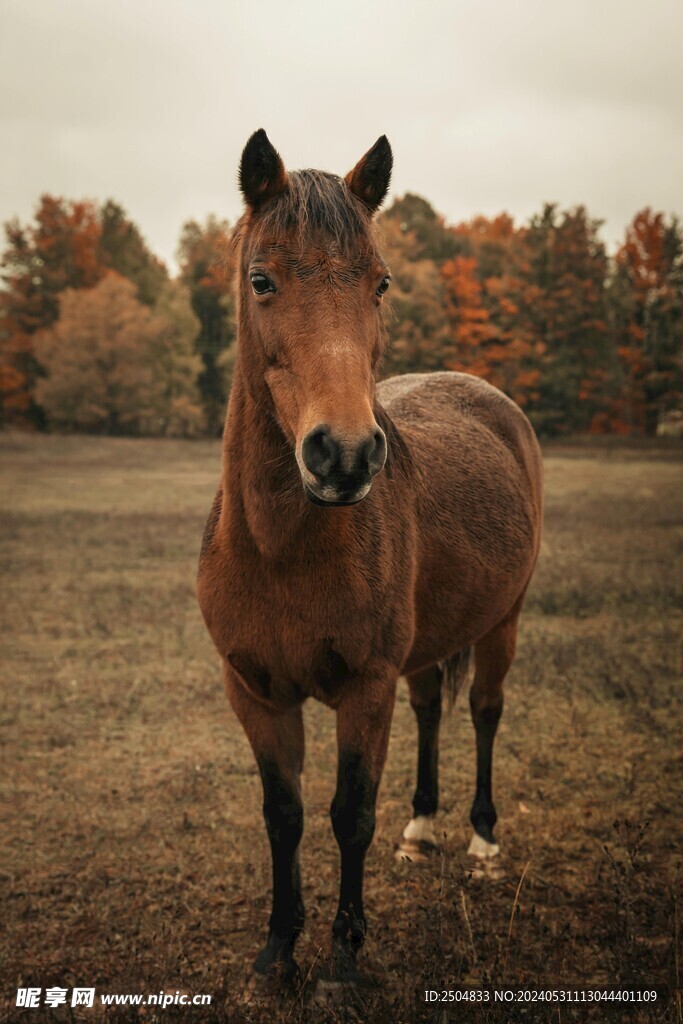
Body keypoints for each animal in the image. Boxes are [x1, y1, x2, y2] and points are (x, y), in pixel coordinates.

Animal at [196, 129, 543, 999]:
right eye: (261, 279)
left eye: (379, 281)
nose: (345, 454)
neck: (281, 551)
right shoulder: (254, 691)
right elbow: (283, 817)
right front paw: (277, 951)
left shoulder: (364, 687)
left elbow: (348, 815)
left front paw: (345, 958)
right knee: (429, 709)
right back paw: (420, 829)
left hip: (503, 620)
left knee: (482, 710)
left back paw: (482, 843)